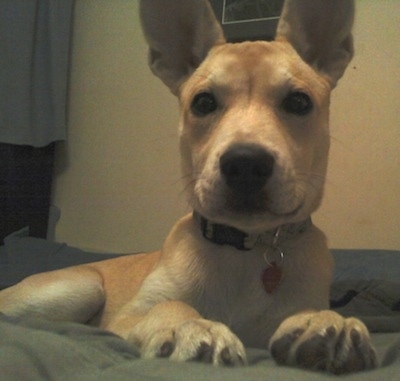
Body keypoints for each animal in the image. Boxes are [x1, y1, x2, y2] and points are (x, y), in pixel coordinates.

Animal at [0, 0, 376, 374]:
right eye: (203, 102)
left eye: (299, 102)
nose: (245, 164)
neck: (246, 251)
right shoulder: (125, 319)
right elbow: (166, 306)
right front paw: (190, 326)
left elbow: (310, 312)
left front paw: (325, 322)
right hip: (81, 286)